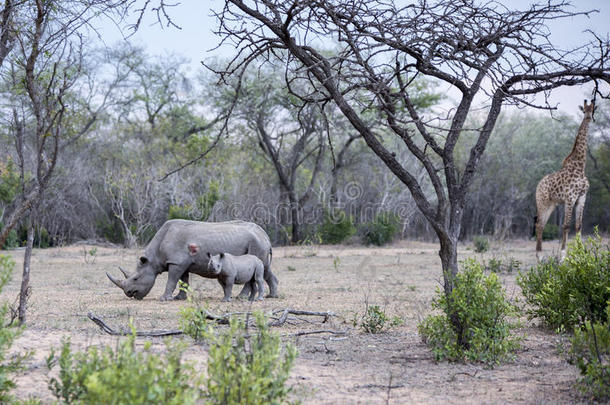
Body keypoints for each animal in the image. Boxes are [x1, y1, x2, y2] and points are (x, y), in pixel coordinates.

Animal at [536, 99, 592, 260]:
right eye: (584, 110)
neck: (580, 166)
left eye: (593, 109)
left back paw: (540, 256)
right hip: (542, 202)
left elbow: (578, 225)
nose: (588, 118)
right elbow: (566, 225)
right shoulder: (570, 197)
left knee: (541, 224)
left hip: (552, 204)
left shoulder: (582, 197)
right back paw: (539, 256)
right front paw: (562, 256)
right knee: (539, 225)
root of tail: (538, 185)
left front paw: (581, 253)